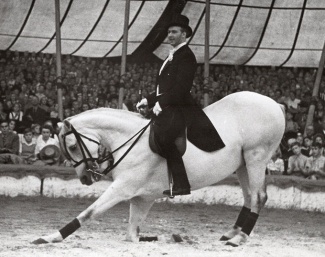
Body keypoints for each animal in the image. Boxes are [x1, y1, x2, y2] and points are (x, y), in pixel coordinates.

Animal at [32, 91, 284, 246]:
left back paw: (239, 239)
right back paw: (232, 232)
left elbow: (89, 212)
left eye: (73, 147)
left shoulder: (123, 188)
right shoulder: (142, 198)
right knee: (249, 197)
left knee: (258, 197)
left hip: (256, 157)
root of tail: (275, 104)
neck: (130, 139)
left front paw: (50, 237)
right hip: (242, 165)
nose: (85, 178)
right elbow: (132, 235)